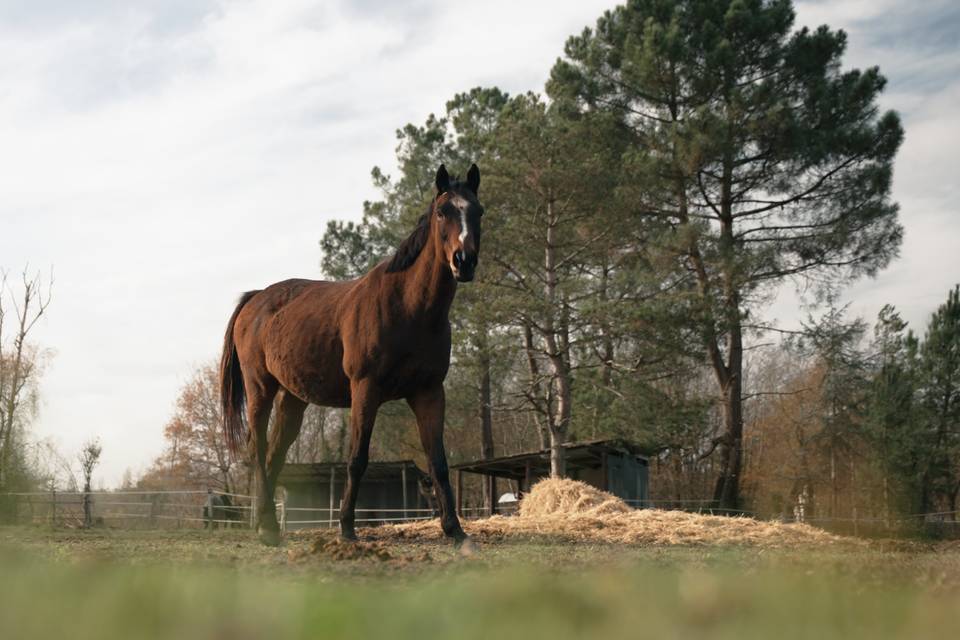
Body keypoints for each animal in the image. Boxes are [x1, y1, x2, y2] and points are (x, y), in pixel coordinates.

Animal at [220, 163, 483, 546]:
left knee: (274, 455)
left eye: (478, 211)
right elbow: (357, 458)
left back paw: (266, 524)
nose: (464, 261)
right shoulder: (365, 389)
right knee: (258, 451)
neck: (407, 306)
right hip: (261, 390)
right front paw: (346, 527)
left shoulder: (429, 392)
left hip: (293, 399)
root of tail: (256, 298)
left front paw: (455, 529)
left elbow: (439, 460)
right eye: (442, 211)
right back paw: (268, 527)